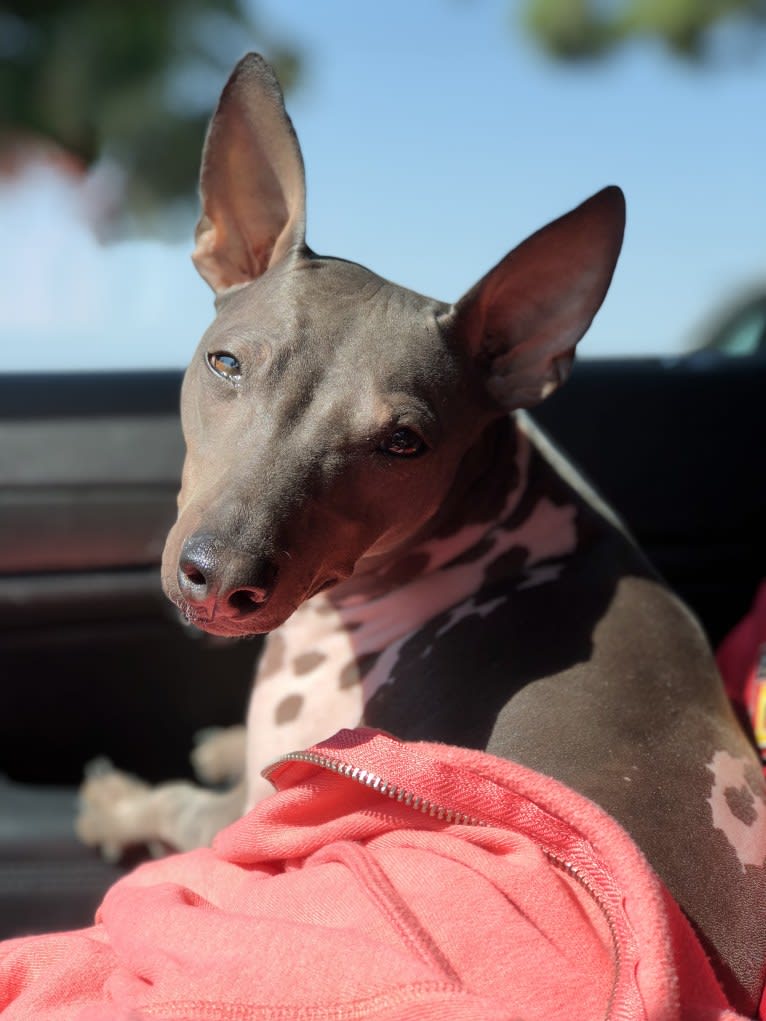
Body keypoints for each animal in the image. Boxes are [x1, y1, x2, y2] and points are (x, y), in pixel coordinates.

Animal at [76, 53, 766, 1004]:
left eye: (403, 443)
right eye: (226, 364)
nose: (220, 577)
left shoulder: (256, 805)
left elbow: (188, 803)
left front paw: (118, 802)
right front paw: (216, 742)